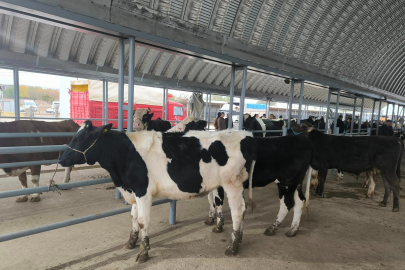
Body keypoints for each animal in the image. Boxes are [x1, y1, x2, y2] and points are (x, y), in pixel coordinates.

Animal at [59, 122, 256, 262]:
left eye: (79, 140)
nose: (61, 159)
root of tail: (245, 134)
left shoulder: (142, 191)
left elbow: (142, 221)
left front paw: (144, 251)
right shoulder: (133, 191)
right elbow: (133, 216)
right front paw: (131, 241)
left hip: (232, 183)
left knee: (238, 211)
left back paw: (233, 246)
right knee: (240, 208)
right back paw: (235, 236)